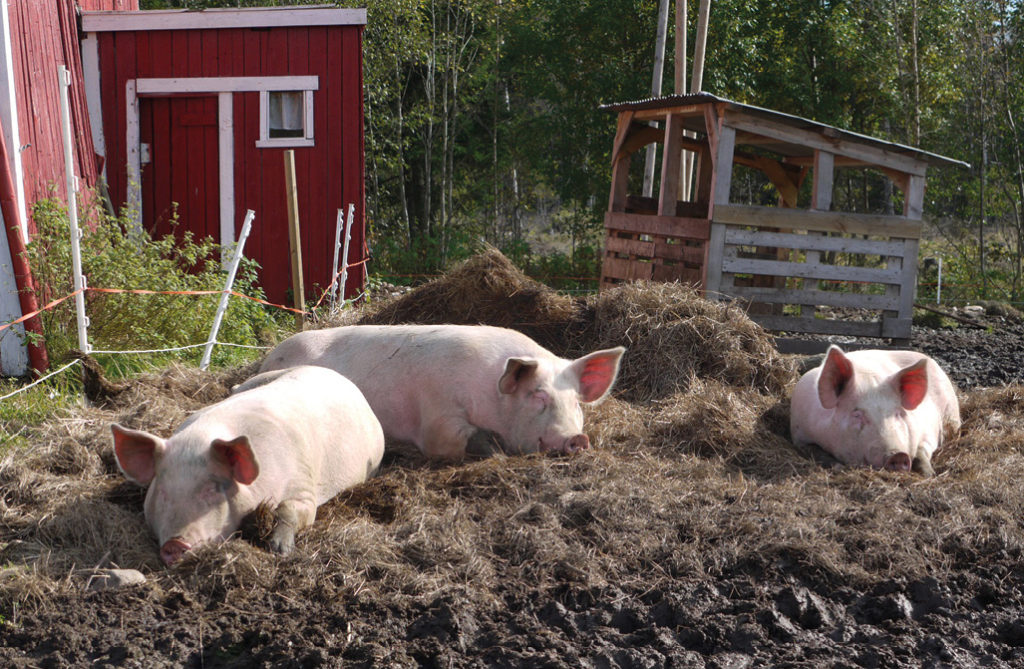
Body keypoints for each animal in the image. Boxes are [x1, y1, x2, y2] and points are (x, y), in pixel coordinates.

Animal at [111, 364, 385, 565]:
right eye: (163, 492)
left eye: (212, 489)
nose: (174, 544)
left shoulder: (304, 483)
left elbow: (290, 508)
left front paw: (279, 550)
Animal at [256, 323, 622, 458]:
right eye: (538, 396)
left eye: (576, 403)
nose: (577, 438)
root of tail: (269, 357)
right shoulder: (436, 415)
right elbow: (448, 440)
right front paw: (493, 447)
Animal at [790, 344, 958, 475]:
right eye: (857, 415)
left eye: (898, 414)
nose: (898, 455)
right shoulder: (799, 433)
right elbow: (814, 451)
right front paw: (838, 467)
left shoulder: (929, 428)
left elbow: (921, 451)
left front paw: (930, 474)